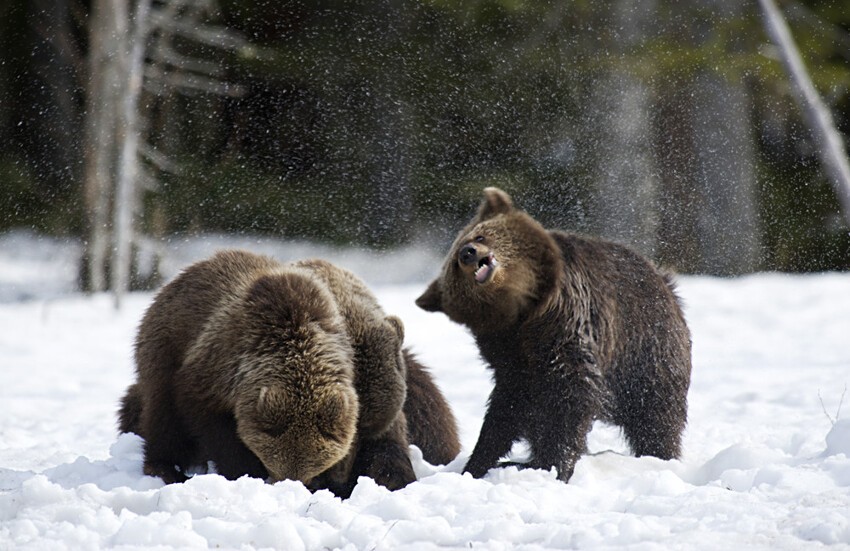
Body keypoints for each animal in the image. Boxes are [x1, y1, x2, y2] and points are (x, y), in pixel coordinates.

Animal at [416, 189, 688, 484]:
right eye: (455, 263)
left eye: (480, 236)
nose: (468, 253)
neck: (523, 316)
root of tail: (663, 279)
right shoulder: (509, 354)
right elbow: (510, 406)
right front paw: (478, 462)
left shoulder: (563, 326)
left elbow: (569, 395)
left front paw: (556, 466)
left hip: (644, 344)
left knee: (654, 411)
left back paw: (658, 456)